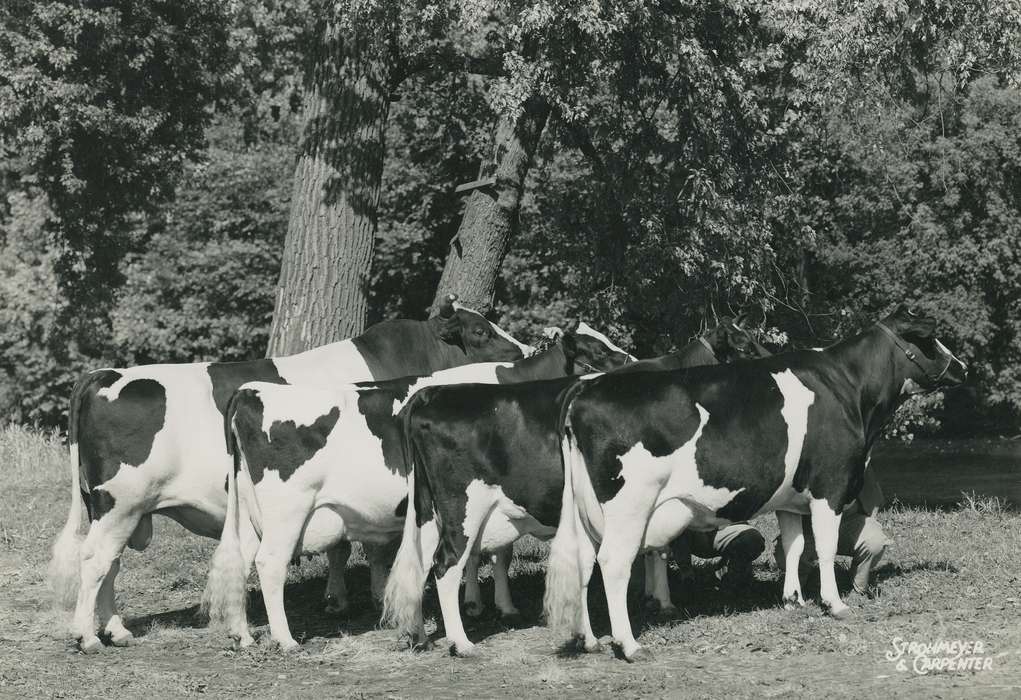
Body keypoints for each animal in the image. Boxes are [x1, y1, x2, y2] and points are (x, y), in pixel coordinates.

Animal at [49, 295, 528, 653]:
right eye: (481, 332)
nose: (524, 354)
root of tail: (104, 374)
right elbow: (371, 547)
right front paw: (370, 598)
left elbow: (347, 546)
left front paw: (347, 597)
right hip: (122, 504)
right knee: (95, 561)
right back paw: (88, 637)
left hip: (115, 510)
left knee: (108, 565)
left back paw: (117, 630)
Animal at [202, 324, 634, 650]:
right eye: (599, 349)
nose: (632, 361)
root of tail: (251, 391)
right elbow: (495, 551)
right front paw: (495, 608)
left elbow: (483, 552)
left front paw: (481, 604)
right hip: (287, 512)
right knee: (269, 564)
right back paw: (287, 640)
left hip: (250, 513)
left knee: (241, 560)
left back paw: (243, 635)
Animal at [380, 320, 766, 657]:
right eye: (745, 343)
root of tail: (431, 395)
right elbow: (657, 548)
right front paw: (660, 602)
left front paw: (652, 599)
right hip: (462, 507)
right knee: (446, 563)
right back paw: (462, 644)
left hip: (429, 510)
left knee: (419, 562)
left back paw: (420, 637)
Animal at [543, 305, 966, 661]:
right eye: (930, 338)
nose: (961, 367)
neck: (847, 387)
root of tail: (584, 392)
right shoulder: (830, 486)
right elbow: (825, 547)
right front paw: (835, 604)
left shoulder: (790, 497)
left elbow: (795, 547)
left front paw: (794, 599)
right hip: (629, 507)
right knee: (613, 563)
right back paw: (630, 646)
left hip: (584, 509)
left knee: (583, 562)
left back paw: (591, 640)